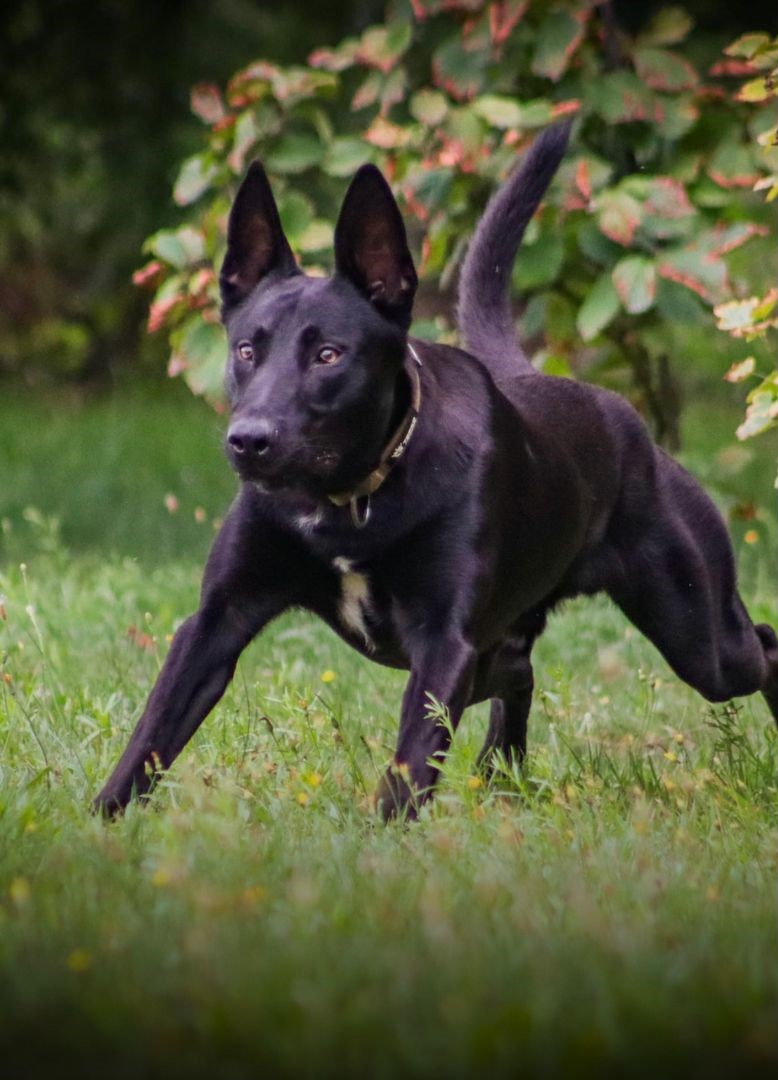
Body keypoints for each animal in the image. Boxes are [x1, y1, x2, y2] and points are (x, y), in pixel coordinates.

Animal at [95, 124, 778, 816]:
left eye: (328, 355)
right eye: (244, 350)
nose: (248, 441)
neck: (353, 503)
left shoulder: (443, 640)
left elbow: (411, 760)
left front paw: (379, 837)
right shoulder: (217, 619)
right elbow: (152, 734)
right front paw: (103, 824)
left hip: (701, 635)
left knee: (764, 644)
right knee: (519, 674)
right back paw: (503, 774)